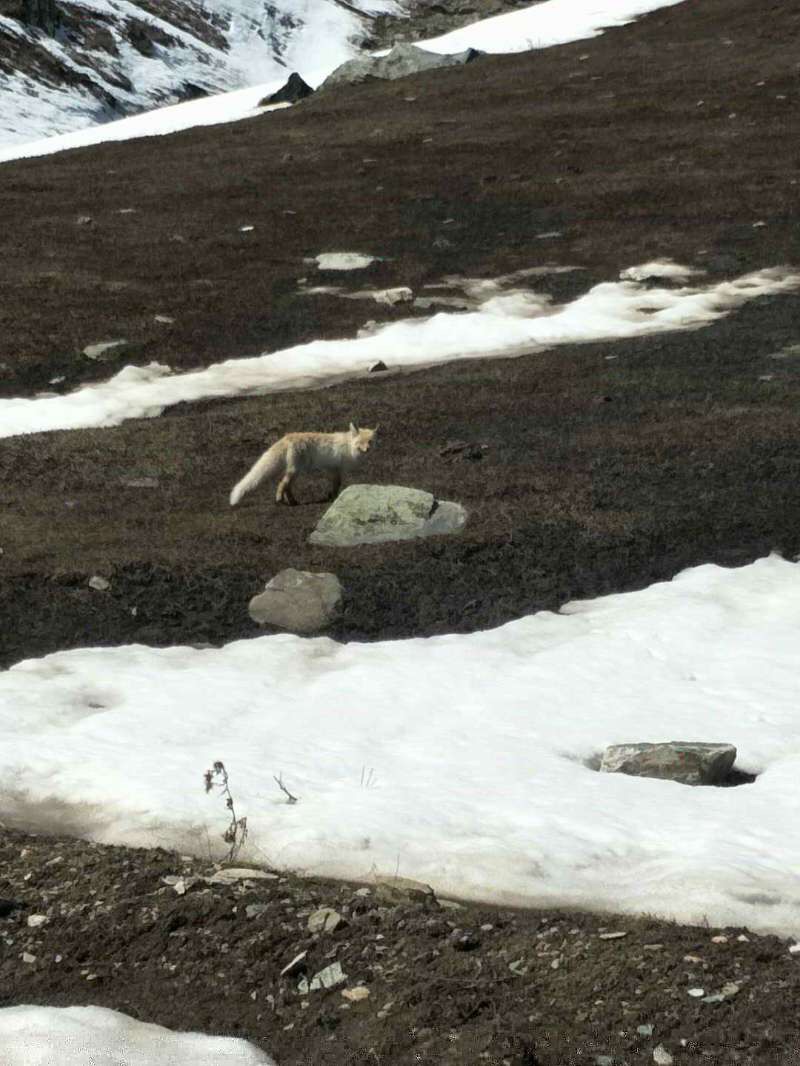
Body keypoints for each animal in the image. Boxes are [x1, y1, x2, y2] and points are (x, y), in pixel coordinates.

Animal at [228, 422, 379, 505]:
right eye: (361, 443)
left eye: (370, 442)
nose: (367, 449)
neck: (348, 447)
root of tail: (287, 437)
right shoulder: (335, 468)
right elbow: (337, 485)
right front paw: (334, 497)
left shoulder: (333, 469)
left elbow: (335, 485)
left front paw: (332, 496)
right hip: (295, 471)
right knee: (282, 484)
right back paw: (280, 499)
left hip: (295, 472)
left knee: (287, 487)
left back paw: (293, 502)